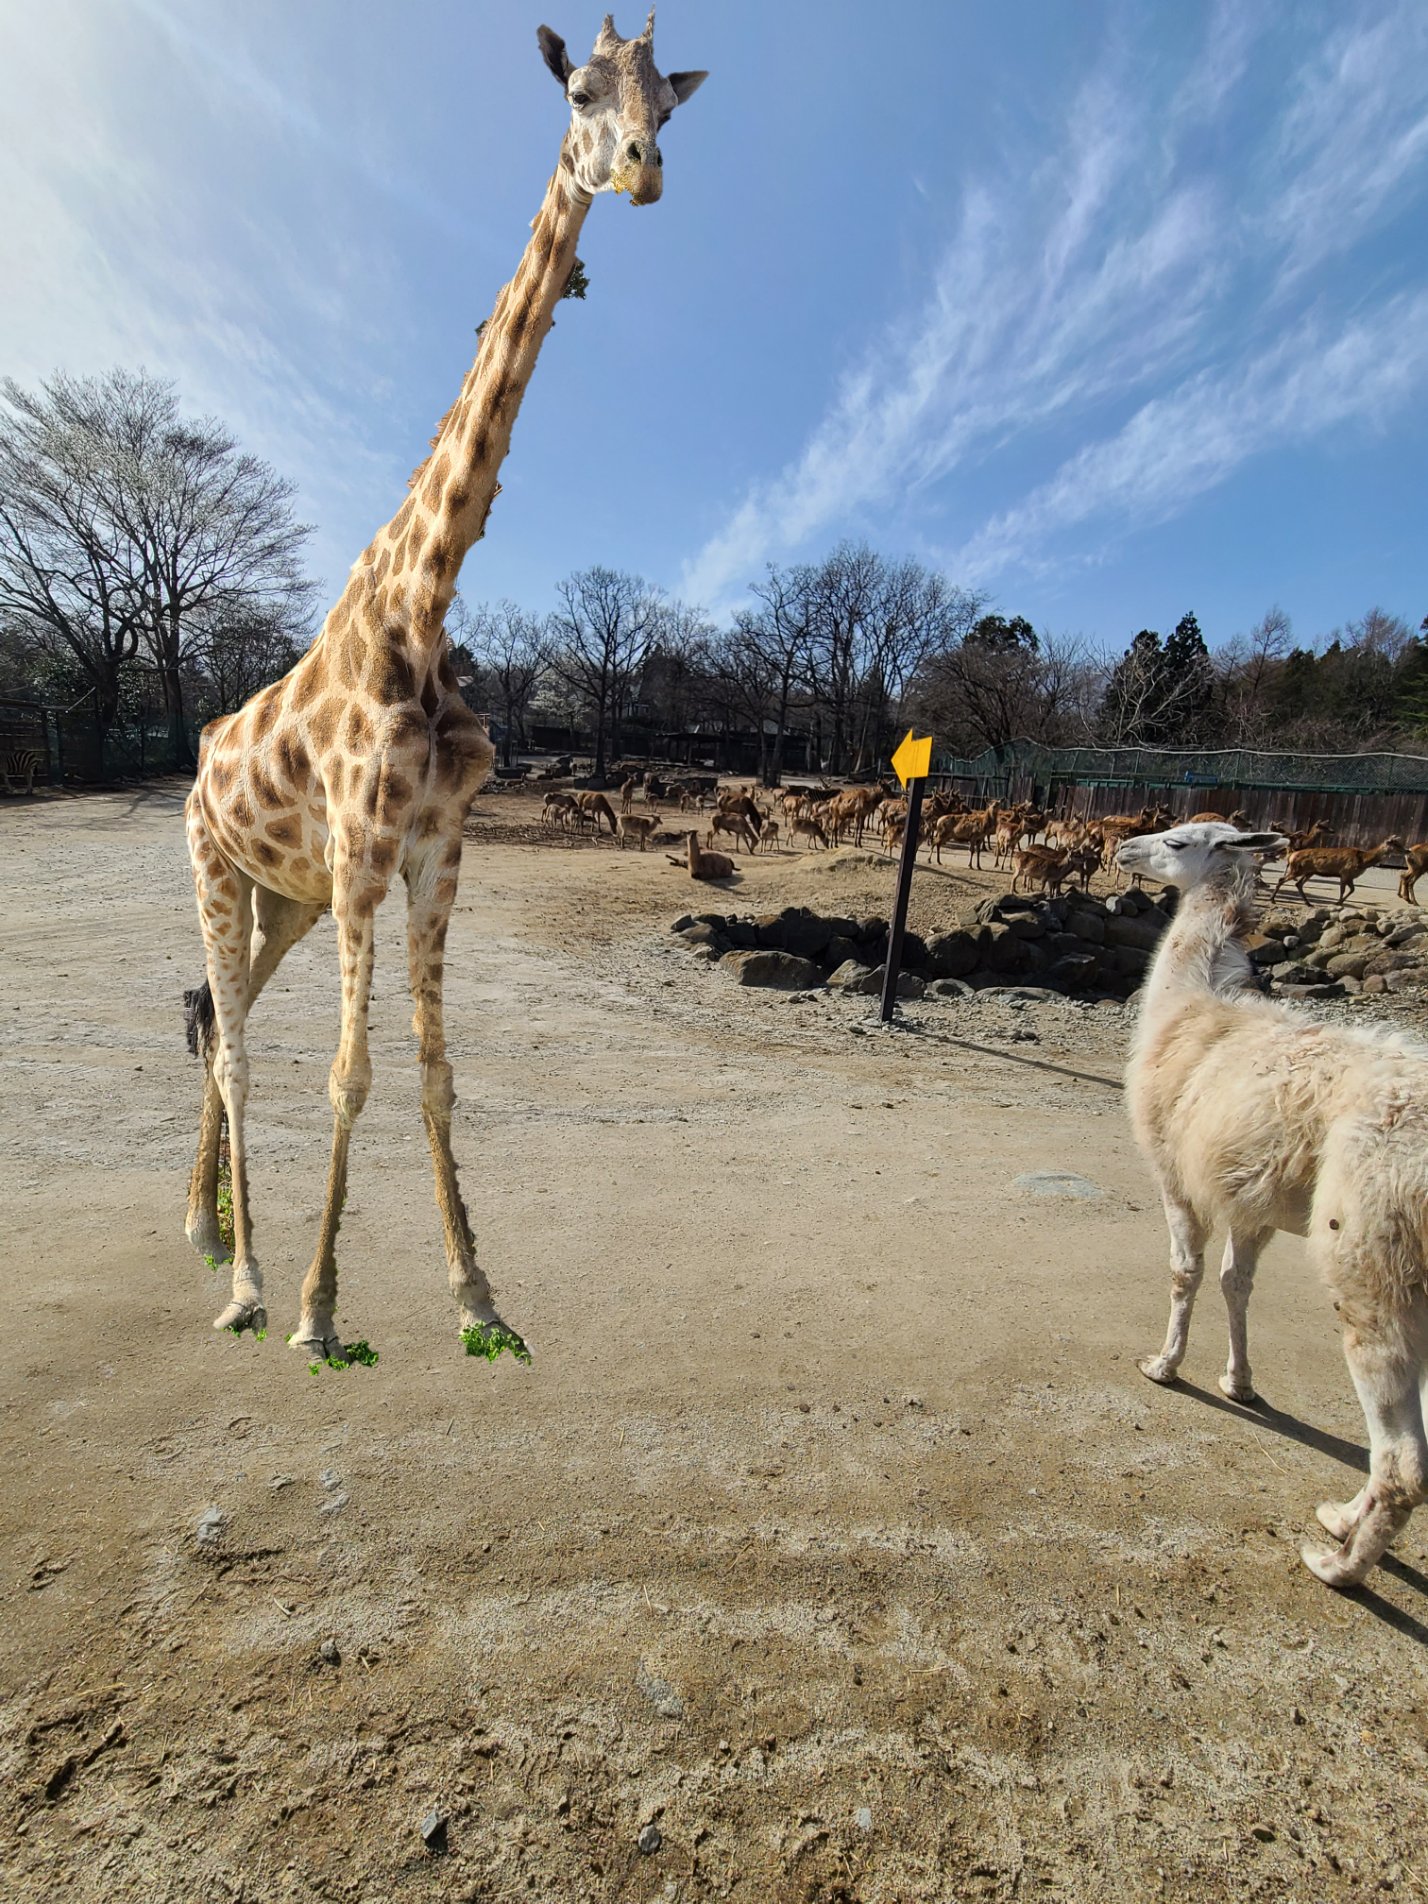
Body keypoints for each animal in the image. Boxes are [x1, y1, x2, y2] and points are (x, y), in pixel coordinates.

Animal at [183, 14, 707, 1363]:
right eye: (579, 92)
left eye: (671, 104)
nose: (643, 172)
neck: (421, 610)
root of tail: (200, 747)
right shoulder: (367, 851)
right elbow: (348, 1073)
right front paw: (320, 1309)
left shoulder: (435, 853)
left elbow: (432, 1068)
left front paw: (478, 1292)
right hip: (214, 865)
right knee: (237, 1046)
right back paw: (245, 1283)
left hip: (285, 896)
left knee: (217, 1021)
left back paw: (205, 1227)